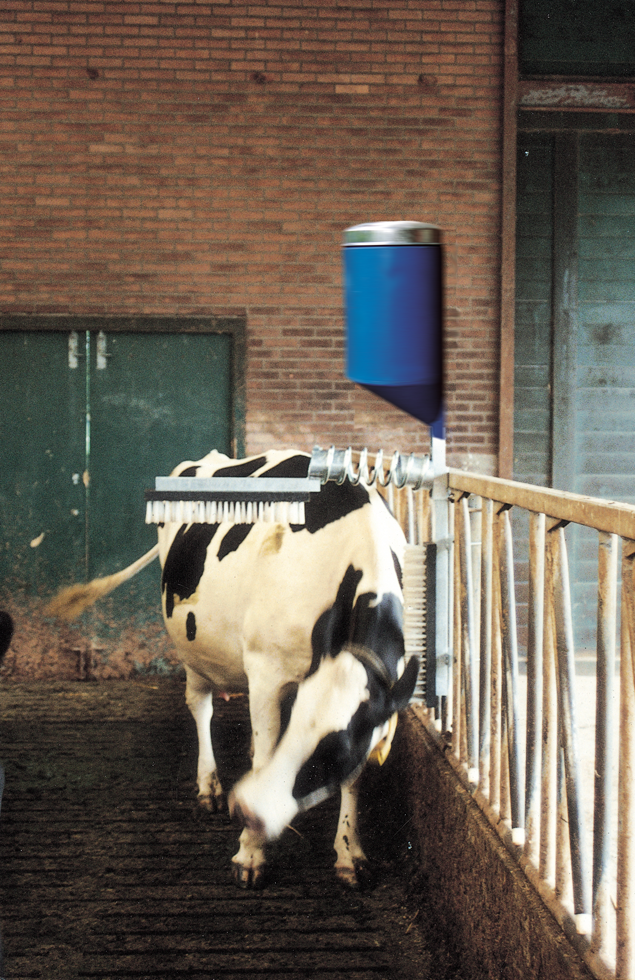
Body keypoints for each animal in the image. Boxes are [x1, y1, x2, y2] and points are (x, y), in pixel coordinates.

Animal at [47, 450, 418, 889]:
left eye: (339, 751)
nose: (248, 811)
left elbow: (354, 777)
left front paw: (349, 853)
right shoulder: (267, 670)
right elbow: (263, 757)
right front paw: (250, 853)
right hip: (192, 647)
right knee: (200, 706)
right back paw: (209, 784)